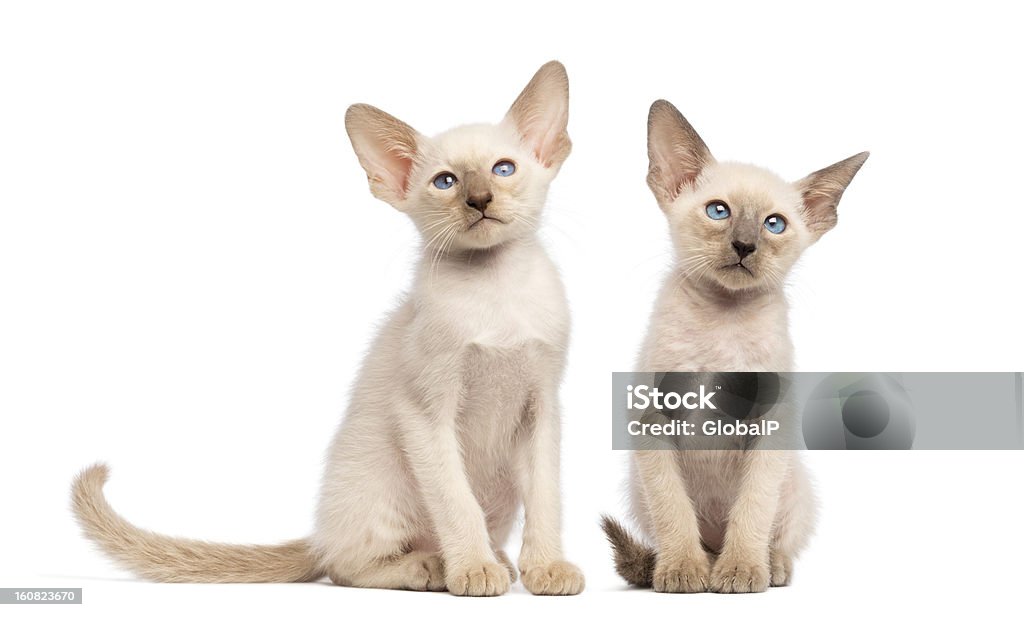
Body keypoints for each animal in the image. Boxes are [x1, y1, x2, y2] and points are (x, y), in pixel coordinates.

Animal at [72, 60, 585, 597]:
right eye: (445, 181)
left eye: (503, 169)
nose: (479, 198)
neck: (496, 292)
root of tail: (319, 531)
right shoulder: (426, 410)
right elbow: (456, 501)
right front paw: (473, 571)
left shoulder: (542, 406)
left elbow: (547, 497)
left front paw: (547, 568)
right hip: (381, 483)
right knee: (345, 564)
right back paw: (434, 567)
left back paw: (499, 561)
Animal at [602, 100, 868, 593]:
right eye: (718, 211)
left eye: (774, 225)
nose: (744, 245)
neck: (722, 322)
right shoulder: (651, 421)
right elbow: (674, 512)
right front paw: (682, 571)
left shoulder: (770, 428)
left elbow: (752, 510)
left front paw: (742, 571)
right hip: (635, 485)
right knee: (691, 537)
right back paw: (696, 565)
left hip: (797, 481)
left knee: (777, 536)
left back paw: (767, 566)